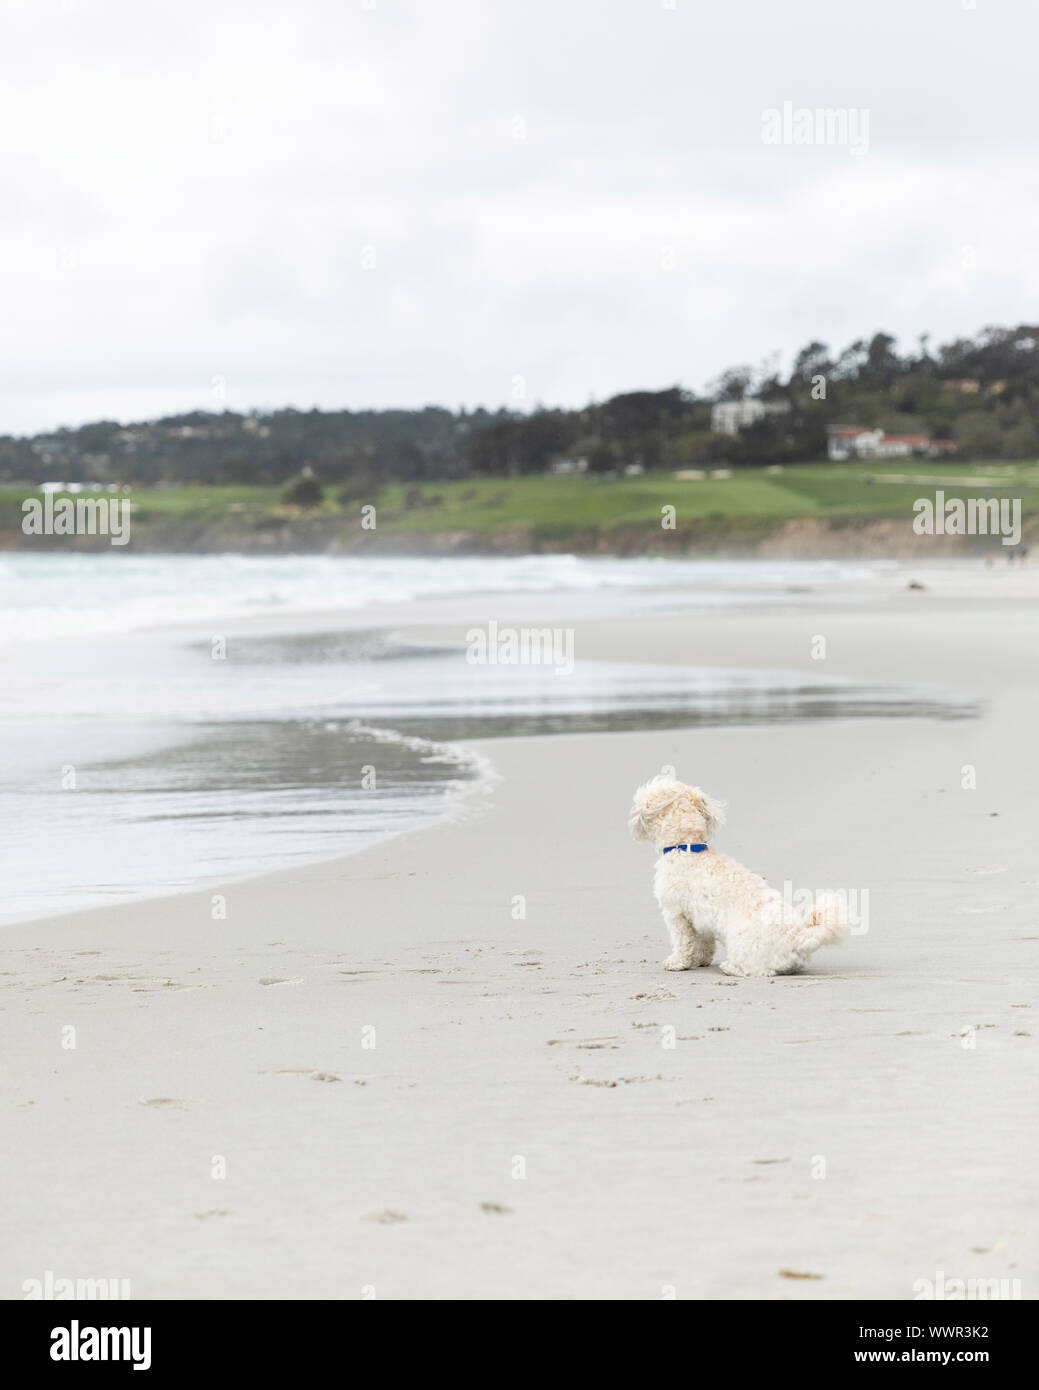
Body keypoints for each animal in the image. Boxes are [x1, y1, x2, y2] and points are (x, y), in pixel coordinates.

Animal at [628, 772, 851, 978]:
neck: (687, 847)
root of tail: (800, 937)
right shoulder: (700, 919)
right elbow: (704, 942)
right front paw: (701, 959)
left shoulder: (677, 914)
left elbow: (683, 941)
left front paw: (677, 962)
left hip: (742, 942)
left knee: (758, 970)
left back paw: (730, 967)